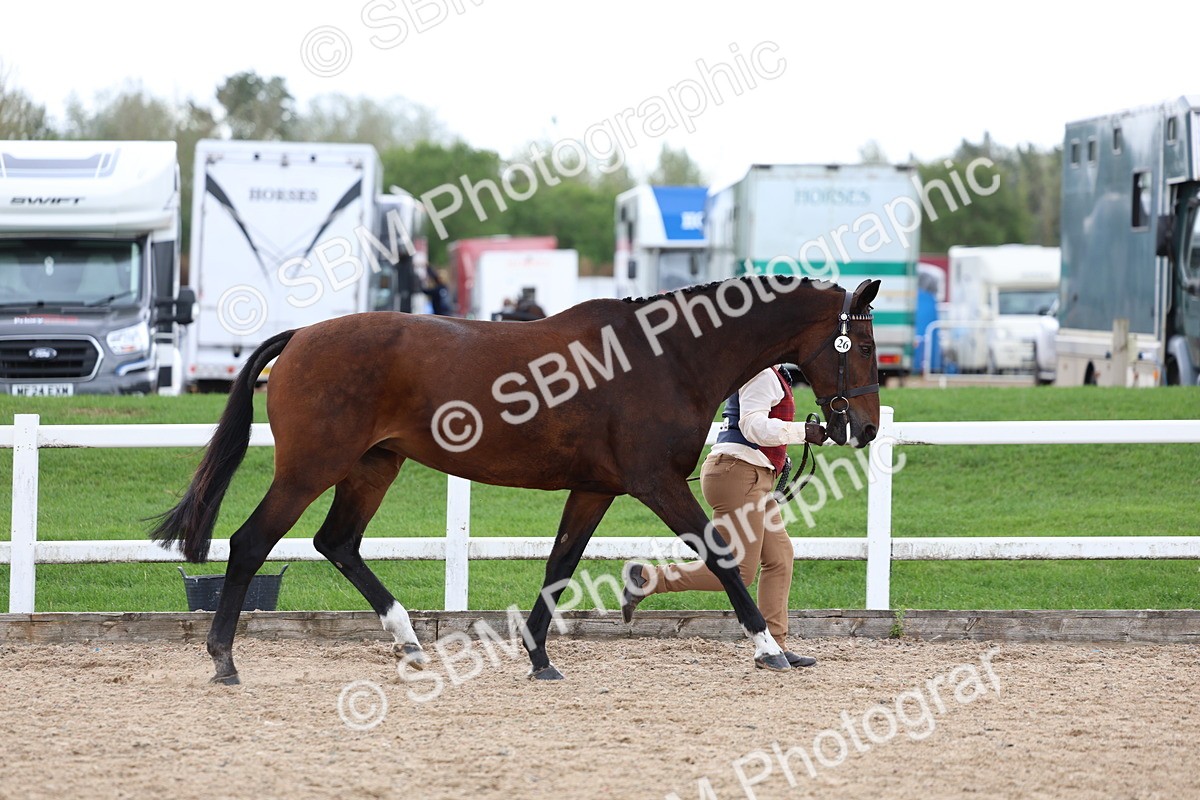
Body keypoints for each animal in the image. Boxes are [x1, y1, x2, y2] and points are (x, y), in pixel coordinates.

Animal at [152, 275, 881, 684]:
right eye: (864, 345)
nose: (866, 428)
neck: (668, 357)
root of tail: (302, 335)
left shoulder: (595, 488)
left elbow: (559, 565)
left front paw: (538, 658)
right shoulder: (655, 483)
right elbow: (724, 558)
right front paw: (769, 649)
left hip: (374, 464)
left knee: (337, 543)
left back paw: (408, 641)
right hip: (311, 467)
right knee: (252, 543)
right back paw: (223, 660)